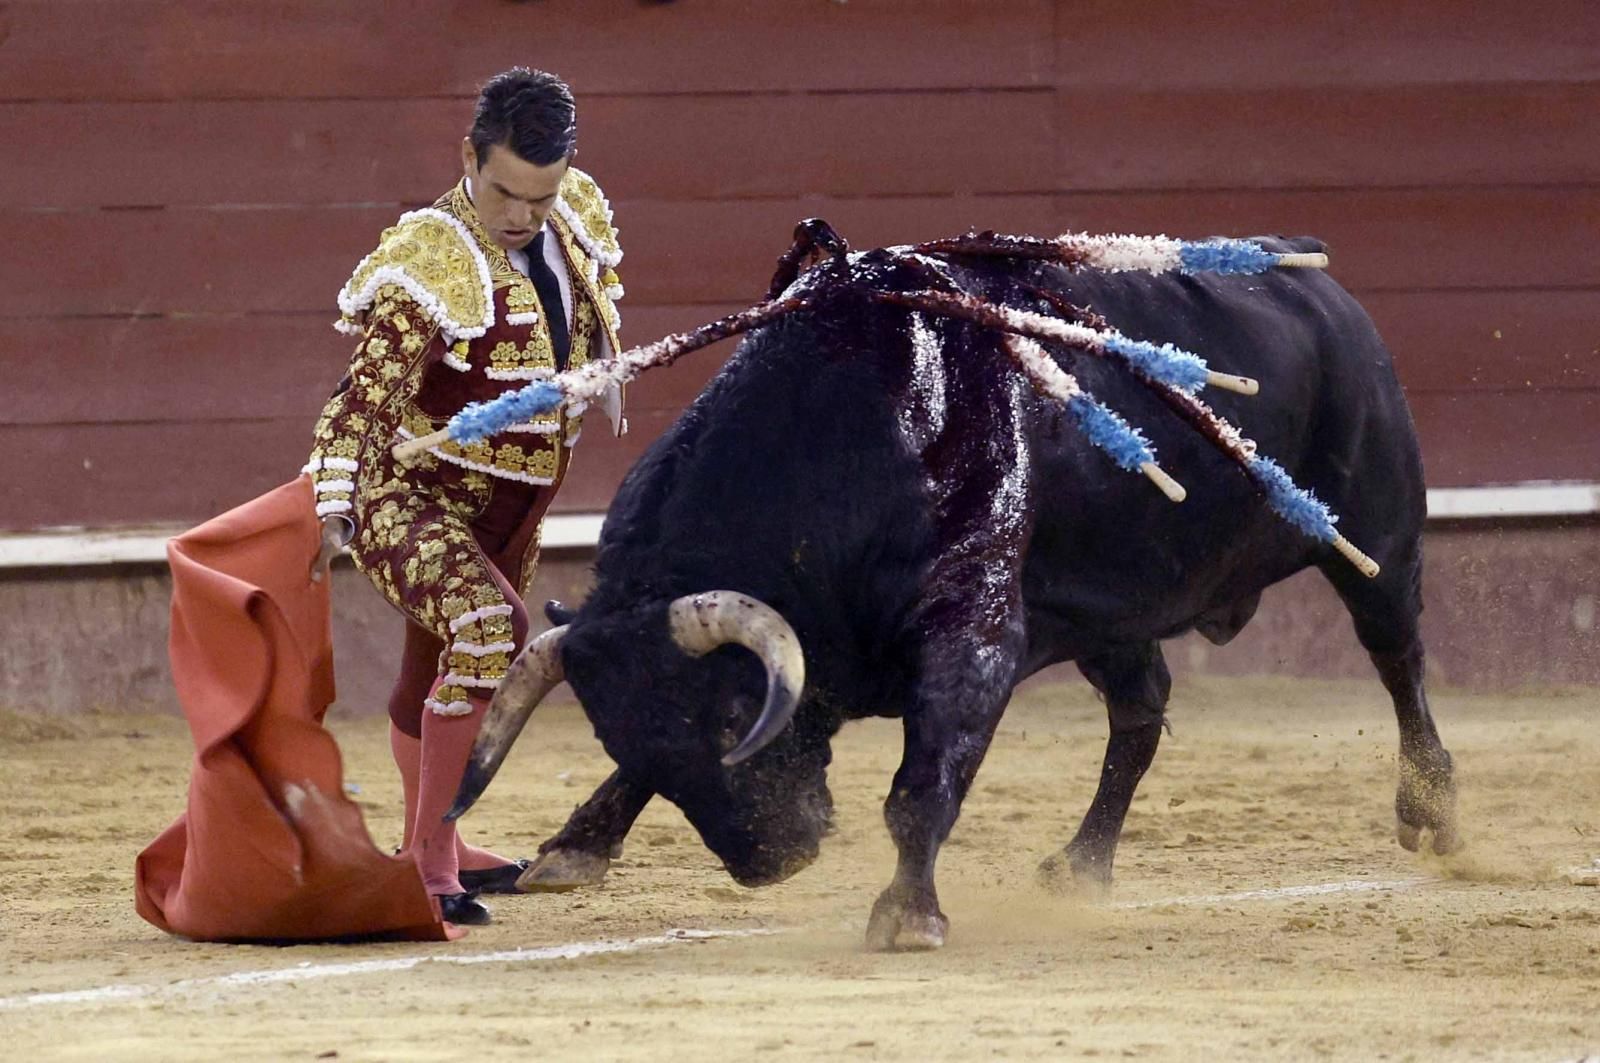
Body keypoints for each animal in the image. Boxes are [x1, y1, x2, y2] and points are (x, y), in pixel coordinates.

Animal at [444, 222, 1459, 947]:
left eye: (735, 718)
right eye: (620, 732)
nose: (772, 859)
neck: (846, 436)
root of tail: (1321, 284)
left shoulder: (973, 629)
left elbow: (922, 779)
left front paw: (907, 916)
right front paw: (571, 848)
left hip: (1376, 531)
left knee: (1397, 655)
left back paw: (1435, 812)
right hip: (1109, 616)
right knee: (1140, 715)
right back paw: (1082, 866)